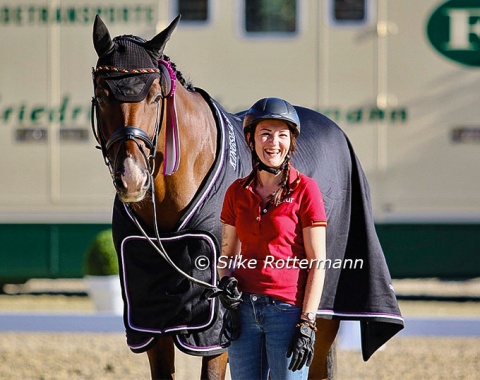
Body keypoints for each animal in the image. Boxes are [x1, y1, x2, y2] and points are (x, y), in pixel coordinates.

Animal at [90, 12, 402, 380]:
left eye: (155, 95)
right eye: (102, 94)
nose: (132, 178)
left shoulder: (216, 330)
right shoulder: (152, 325)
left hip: (324, 314)